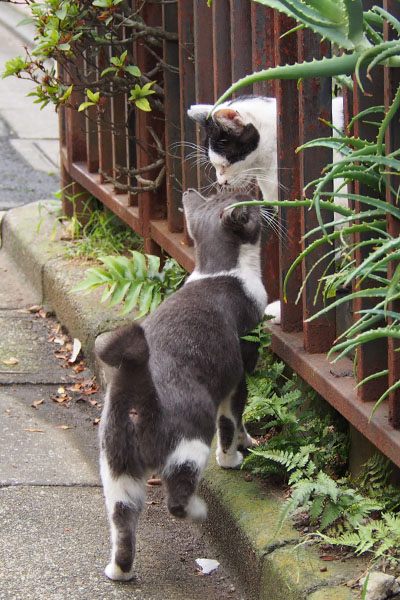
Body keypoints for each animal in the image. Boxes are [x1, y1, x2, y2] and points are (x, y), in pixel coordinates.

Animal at [95, 191, 268, 580]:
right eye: (245, 201)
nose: (259, 196)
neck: (221, 271)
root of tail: (137, 392)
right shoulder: (239, 372)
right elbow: (233, 420)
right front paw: (233, 456)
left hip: (116, 469)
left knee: (122, 519)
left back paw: (119, 571)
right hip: (188, 444)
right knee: (175, 499)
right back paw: (198, 511)